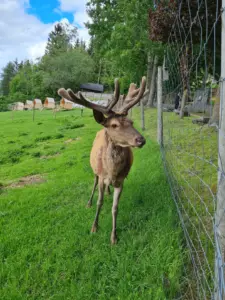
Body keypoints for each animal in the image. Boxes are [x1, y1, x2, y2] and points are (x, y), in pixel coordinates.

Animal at [57, 77, 147, 244]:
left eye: (131, 122)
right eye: (114, 125)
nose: (141, 140)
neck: (111, 171)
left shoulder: (121, 180)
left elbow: (115, 208)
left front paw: (114, 236)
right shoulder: (101, 175)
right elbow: (100, 203)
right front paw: (94, 227)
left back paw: (108, 191)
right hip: (95, 171)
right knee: (93, 184)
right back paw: (89, 202)